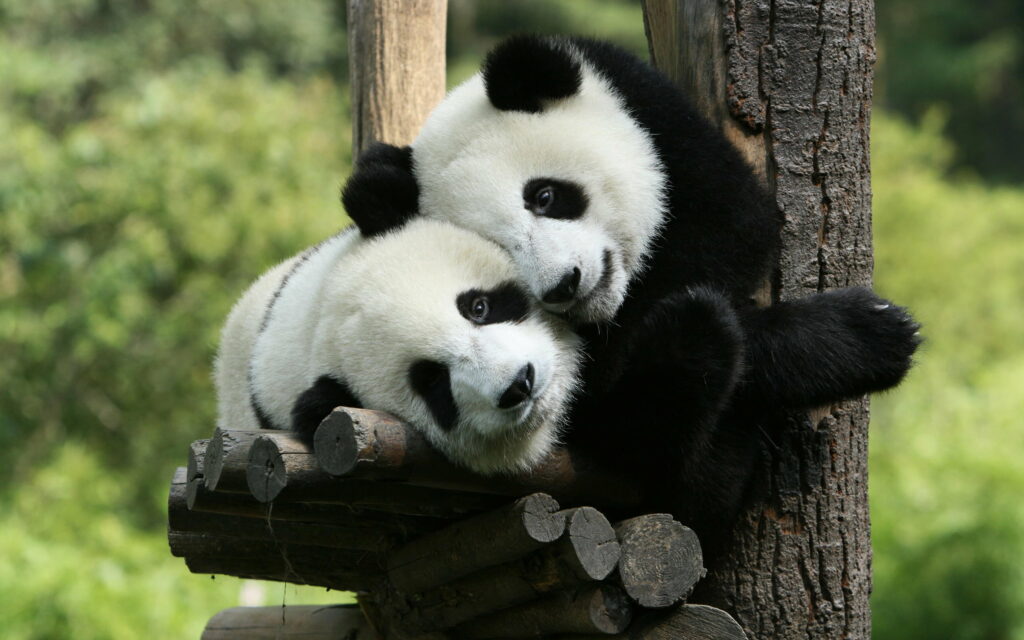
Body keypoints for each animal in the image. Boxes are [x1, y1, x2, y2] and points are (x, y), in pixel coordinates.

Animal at [341, 36, 921, 548]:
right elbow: (612, 399)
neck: (615, 304)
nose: (564, 284)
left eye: (544, 196)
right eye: (499, 247)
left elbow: (734, 227)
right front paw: (868, 334)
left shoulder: (659, 123)